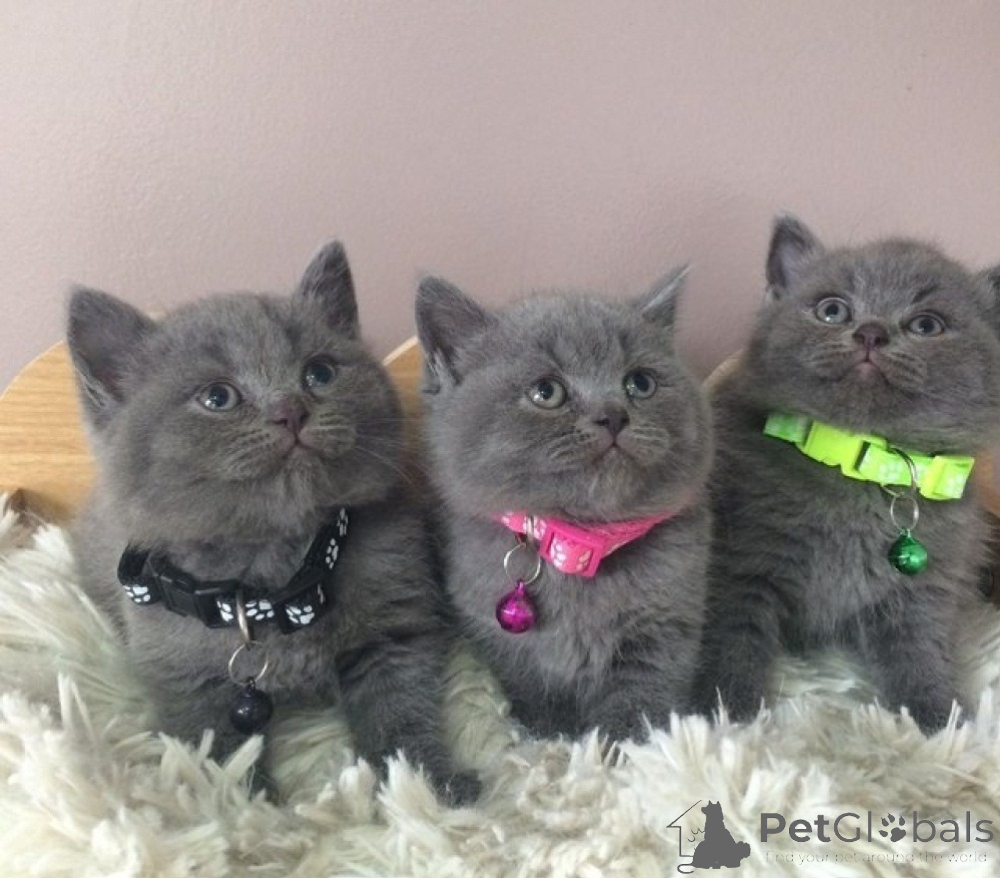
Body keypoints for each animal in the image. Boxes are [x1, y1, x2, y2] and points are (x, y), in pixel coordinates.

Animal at [68, 242, 479, 804]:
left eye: (319, 373)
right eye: (217, 398)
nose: (291, 409)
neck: (274, 575)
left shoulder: (393, 631)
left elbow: (399, 712)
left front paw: (427, 786)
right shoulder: (187, 679)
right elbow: (214, 756)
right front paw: (245, 809)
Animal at [415, 269, 713, 742]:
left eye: (640, 383)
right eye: (546, 391)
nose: (613, 414)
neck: (580, 546)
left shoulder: (665, 627)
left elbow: (642, 701)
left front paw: (620, 746)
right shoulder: (492, 627)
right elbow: (528, 681)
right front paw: (553, 732)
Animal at [696, 215, 1000, 733]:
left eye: (927, 324)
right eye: (832, 310)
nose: (871, 332)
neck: (861, 461)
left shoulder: (927, 586)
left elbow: (921, 649)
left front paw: (937, 719)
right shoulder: (740, 563)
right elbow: (731, 634)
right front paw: (723, 712)